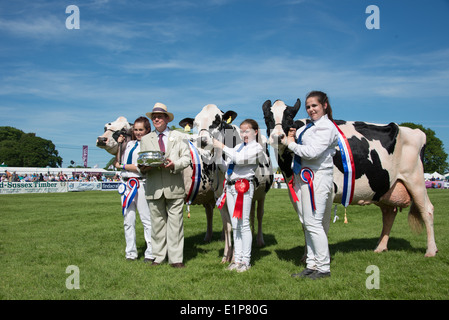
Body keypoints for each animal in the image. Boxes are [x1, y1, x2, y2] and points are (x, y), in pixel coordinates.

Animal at [179, 105, 272, 258]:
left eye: (217, 121)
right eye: (196, 124)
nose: (203, 141)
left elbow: (236, 225)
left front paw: (235, 256)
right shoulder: (218, 195)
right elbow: (227, 225)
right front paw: (226, 255)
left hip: (262, 193)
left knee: (259, 214)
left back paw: (259, 240)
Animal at [260, 99, 436, 258]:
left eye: (289, 117)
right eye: (267, 118)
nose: (278, 137)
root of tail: (416, 131)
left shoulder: (328, 190)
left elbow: (321, 224)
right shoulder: (295, 192)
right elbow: (305, 224)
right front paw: (306, 256)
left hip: (415, 179)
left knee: (427, 210)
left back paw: (431, 250)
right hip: (384, 188)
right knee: (389, 214)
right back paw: (380, 247)